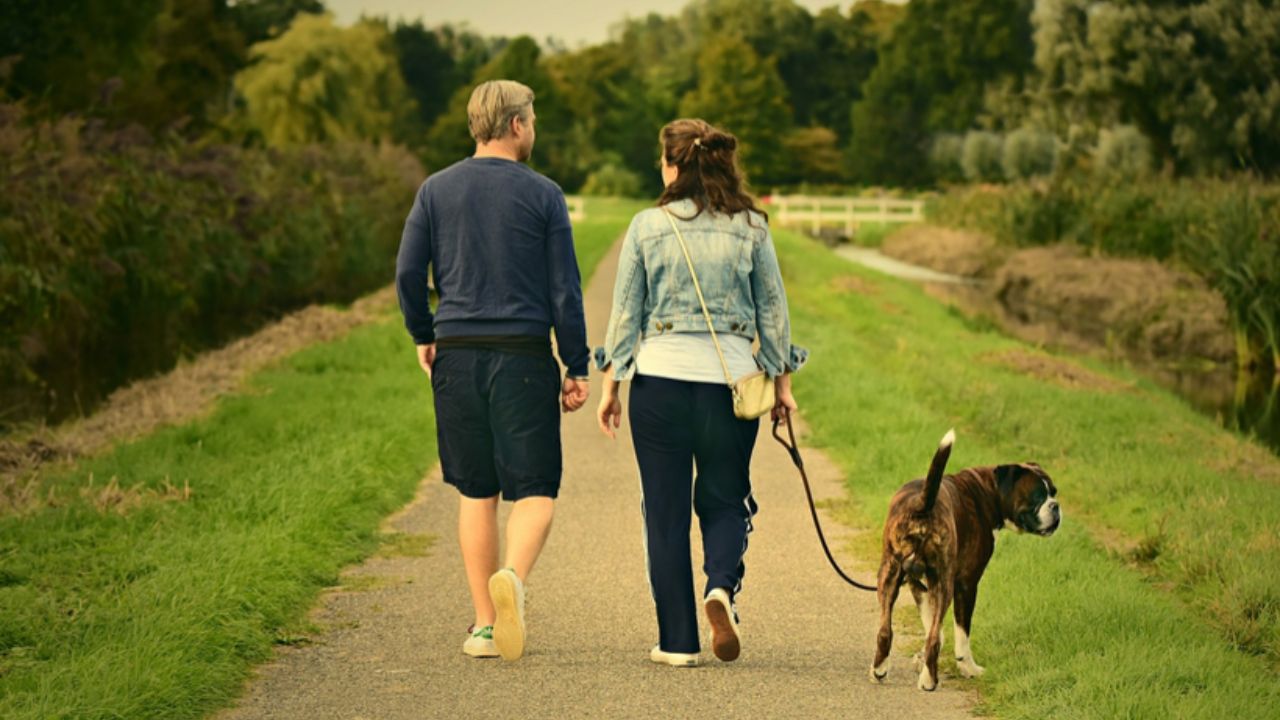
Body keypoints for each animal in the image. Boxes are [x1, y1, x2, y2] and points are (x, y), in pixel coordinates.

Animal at [870, 427, 1059, 686]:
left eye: (1054, 492)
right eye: (1038, 496)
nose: (1055, 506)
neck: (988, 491)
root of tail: (923, 504)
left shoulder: (919, 585)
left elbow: (935, 628)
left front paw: (922, 659)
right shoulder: (966, 584)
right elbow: (960, 635)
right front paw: (969, 668)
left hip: (889, 576)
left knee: (885, 631)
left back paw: (880, 670)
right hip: (945, 583)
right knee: (932, 637)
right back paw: (929, 681)